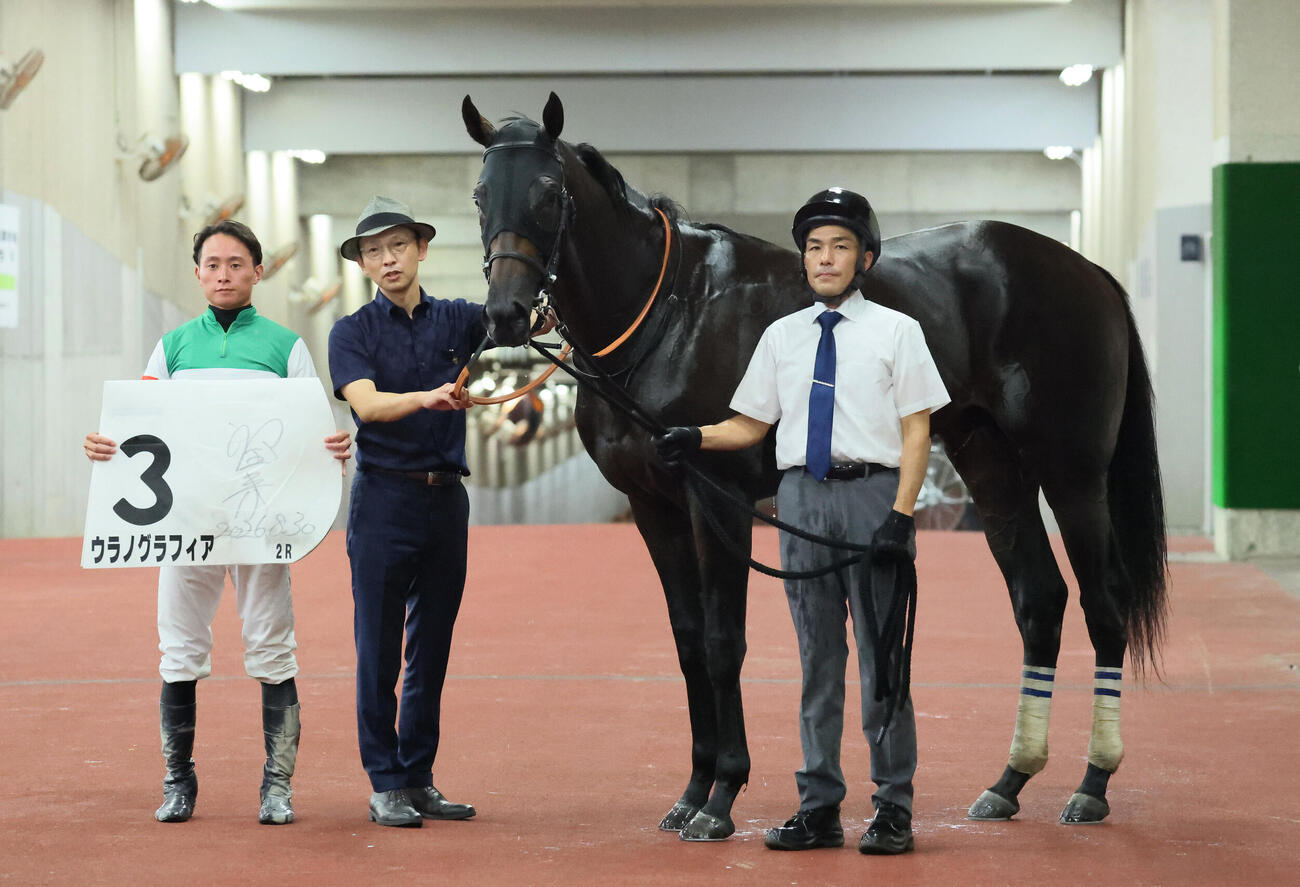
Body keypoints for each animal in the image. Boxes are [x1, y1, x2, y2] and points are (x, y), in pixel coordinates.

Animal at [462, 92, 1168, 840]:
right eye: (480, 193)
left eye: (547, 192)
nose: (505, 313)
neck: (669, 316)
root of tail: (1087, 272)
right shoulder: (654, 507)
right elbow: (688, 642)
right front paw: (691, 789)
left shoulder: (716, 499)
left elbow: (723, 641)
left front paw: (722, 794)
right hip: (992, 465)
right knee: (1039, 600)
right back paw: (1008, 781)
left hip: (1073, 473)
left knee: (1105, 604)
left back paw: (1091, 784)